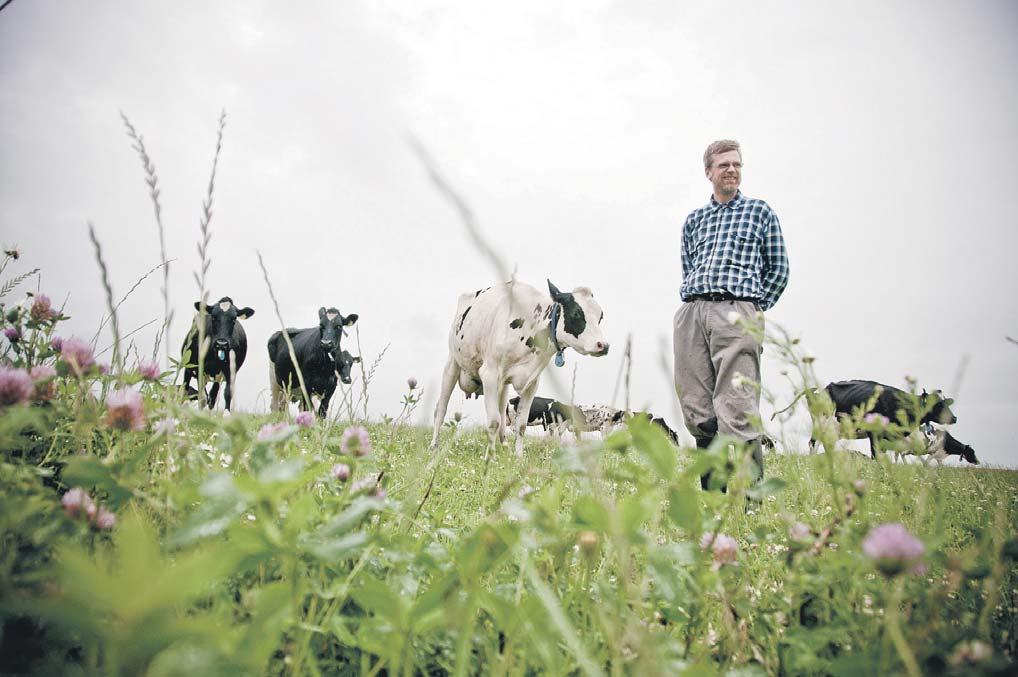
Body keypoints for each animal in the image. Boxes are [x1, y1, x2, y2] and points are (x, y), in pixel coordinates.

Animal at [430, 279, 609, 456]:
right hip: (452, 363)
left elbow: (521, 425)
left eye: (600, 316)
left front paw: (518, 457)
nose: (603, 346)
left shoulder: (531, 383)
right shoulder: (490, 374)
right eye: (576, 314)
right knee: (441, 408)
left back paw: (504, 445)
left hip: (503, 385)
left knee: (503, 413)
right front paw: (490, 458)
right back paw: (434, 446)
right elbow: (493, 422)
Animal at [797, 380, 959, 459]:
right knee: (813, 444)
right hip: (822, 425)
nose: (954, 418)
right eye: (938, 404)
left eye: (946, 402)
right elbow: (875, 456)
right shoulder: (874, 433)